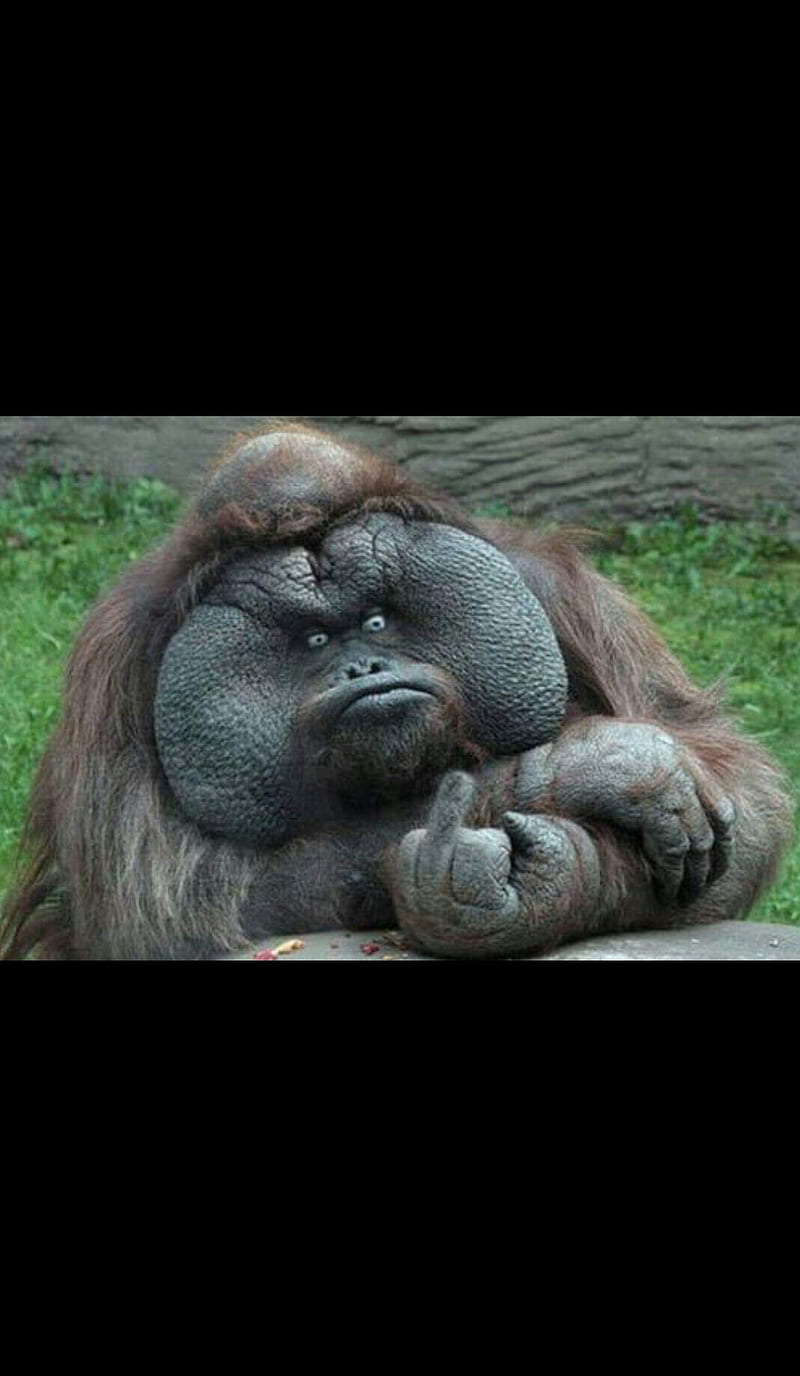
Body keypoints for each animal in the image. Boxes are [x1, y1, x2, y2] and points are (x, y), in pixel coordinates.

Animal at [1, 422, 793, 959]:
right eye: (316, 642)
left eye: (377, 620)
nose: (364, 669)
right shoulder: (113, 667)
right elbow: (165, 900)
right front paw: (593, 770)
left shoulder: (558, 587)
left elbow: (740, 812)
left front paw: (554, 873)